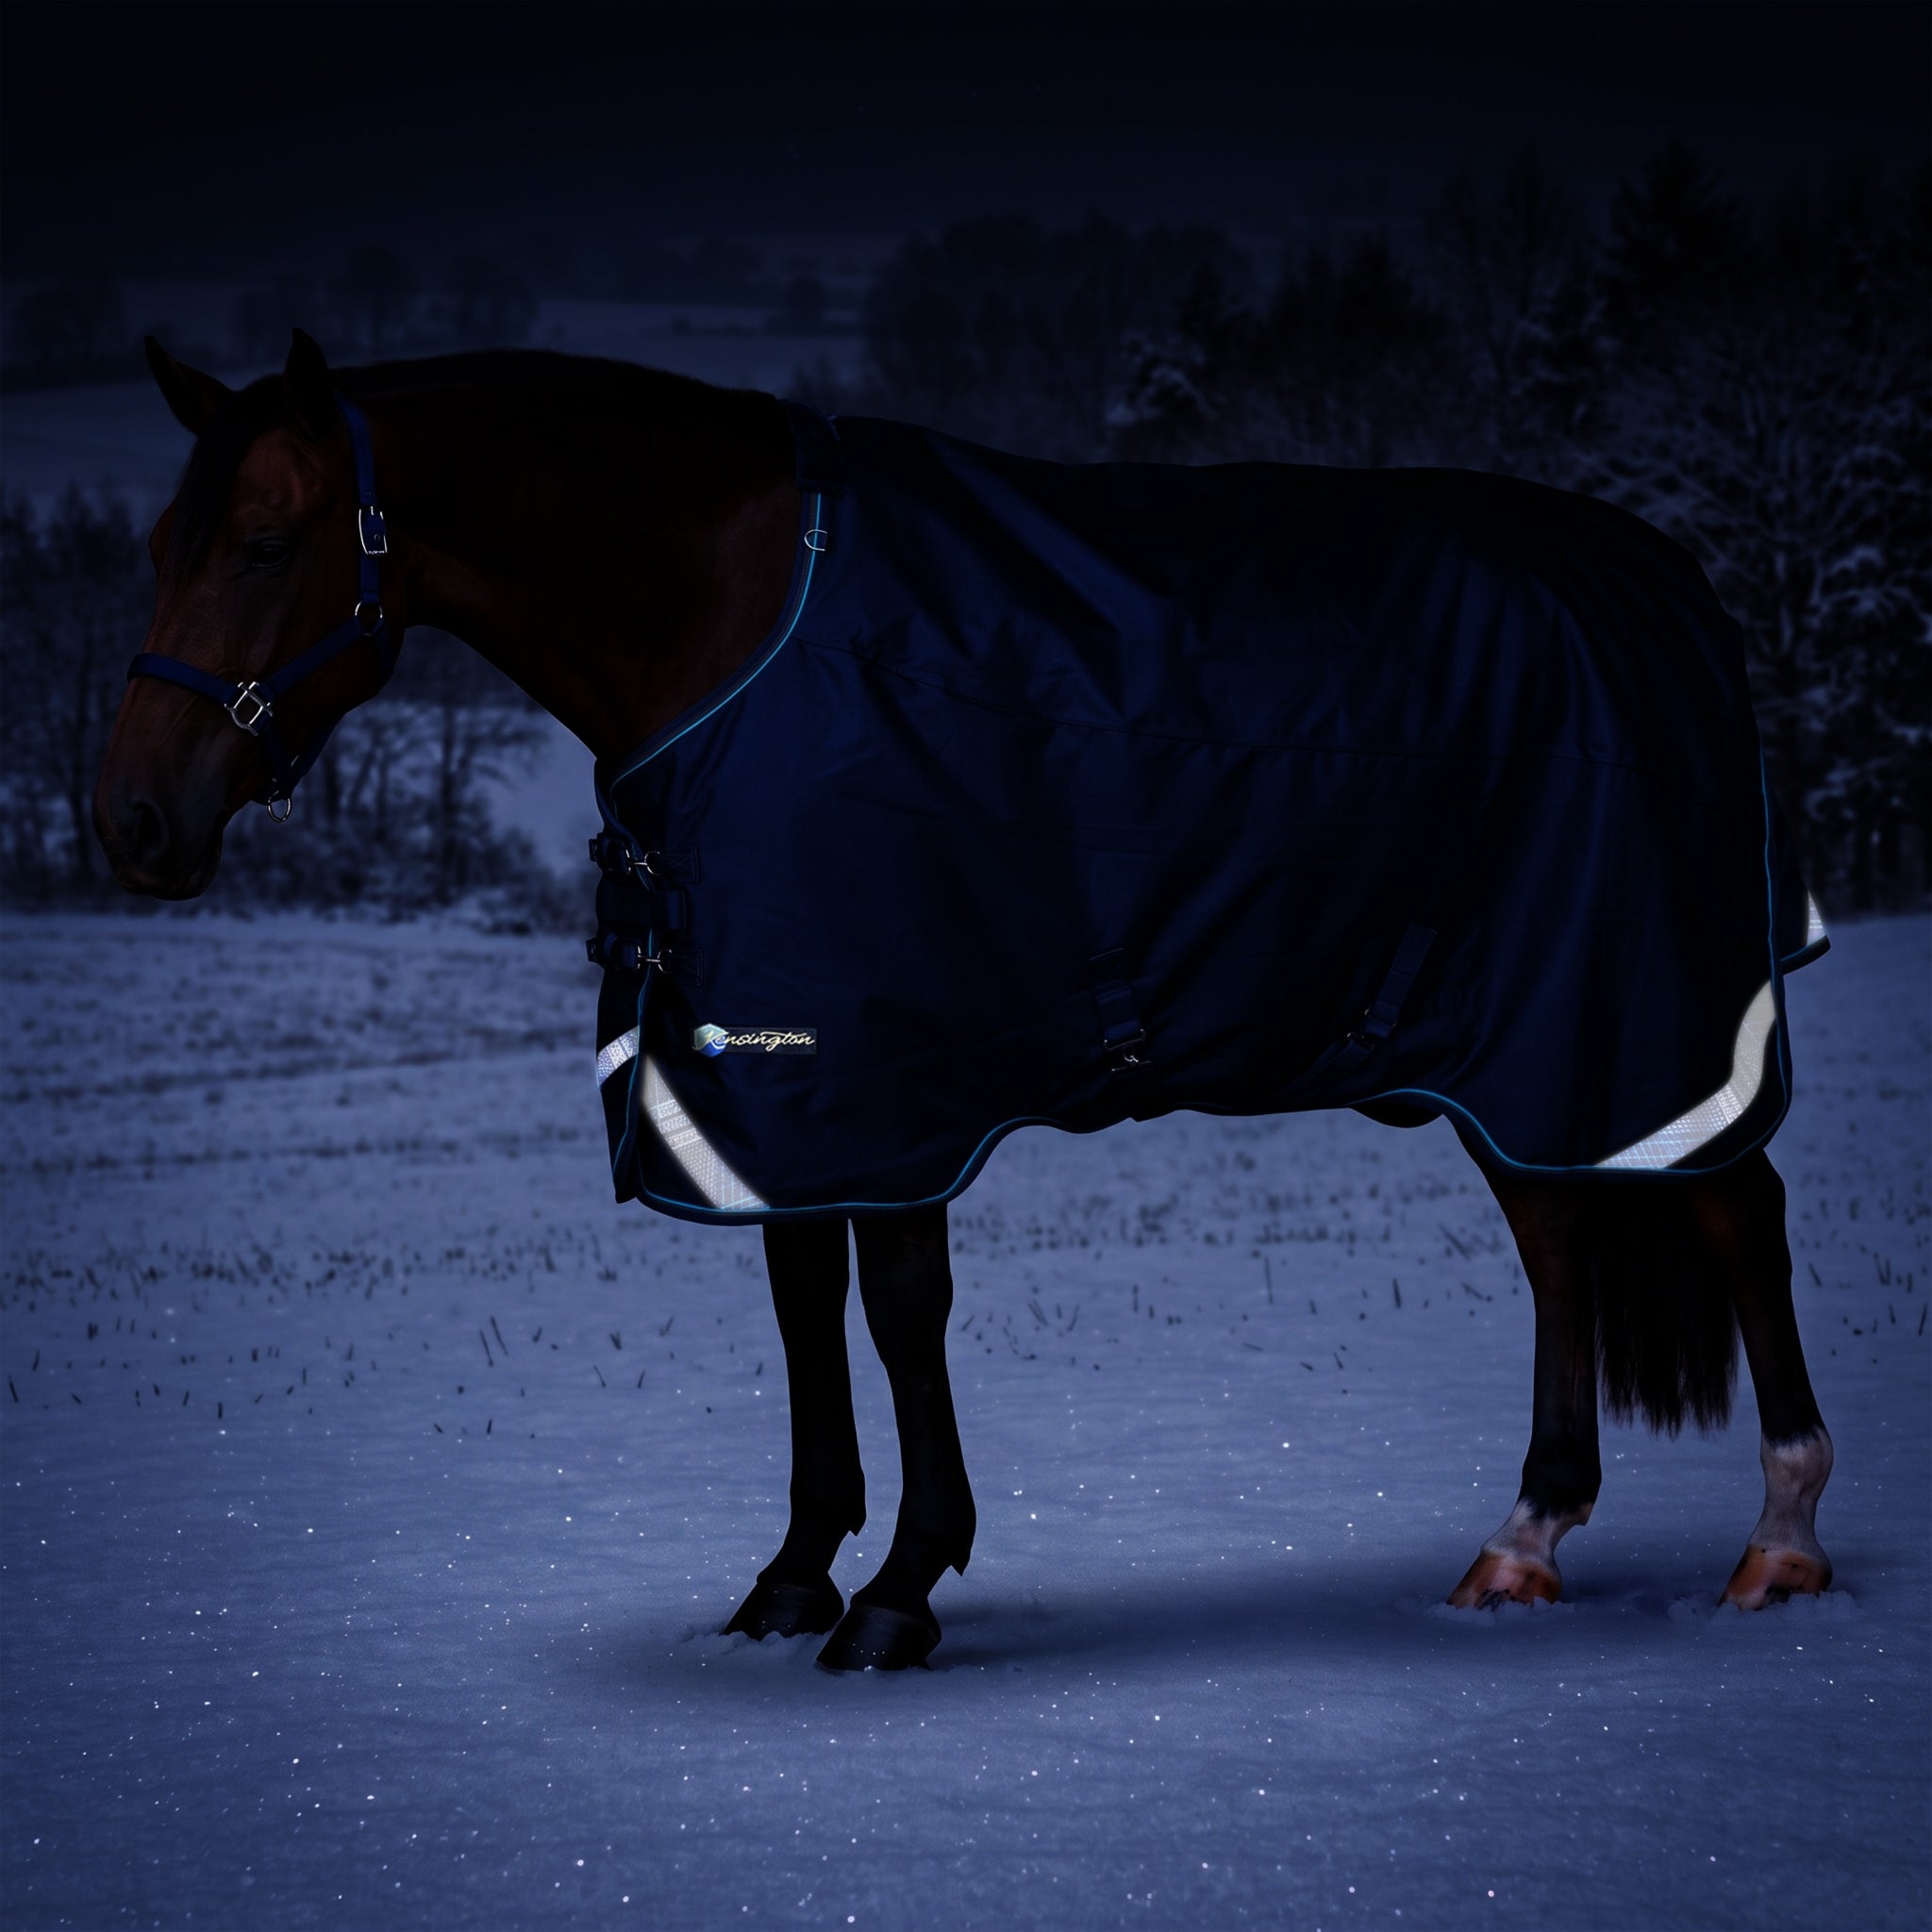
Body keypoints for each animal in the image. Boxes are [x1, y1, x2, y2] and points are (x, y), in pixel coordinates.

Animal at [93, 331, 1837, 1671]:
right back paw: (1523, 1540)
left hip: (1633, 1009)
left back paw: (1778, 1540)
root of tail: (1656, 573)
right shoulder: (763, 1075)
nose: (131, 822)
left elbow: (896, 1308)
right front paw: (793, 1573)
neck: (732, 614)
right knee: (1558, 1233)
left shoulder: (890, 1063)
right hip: (1506, 1034)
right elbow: (802, 1303)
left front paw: (899, 1587)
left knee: (1733, 1210)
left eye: (265, 539)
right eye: (162, 546)